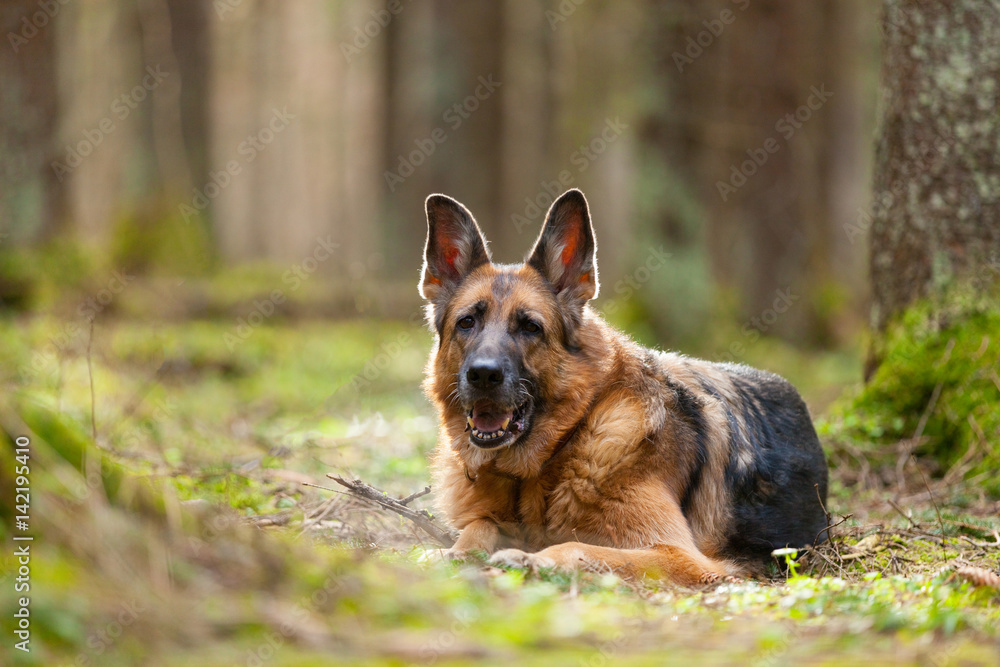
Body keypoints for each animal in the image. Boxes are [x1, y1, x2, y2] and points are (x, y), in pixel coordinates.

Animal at [420, 188, 828, 584]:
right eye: (467, 322)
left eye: (530, 327)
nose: (483, 375)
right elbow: (479, 525)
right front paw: (451, 553)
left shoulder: (678, 555)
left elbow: (576, 547)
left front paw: (528, 558)